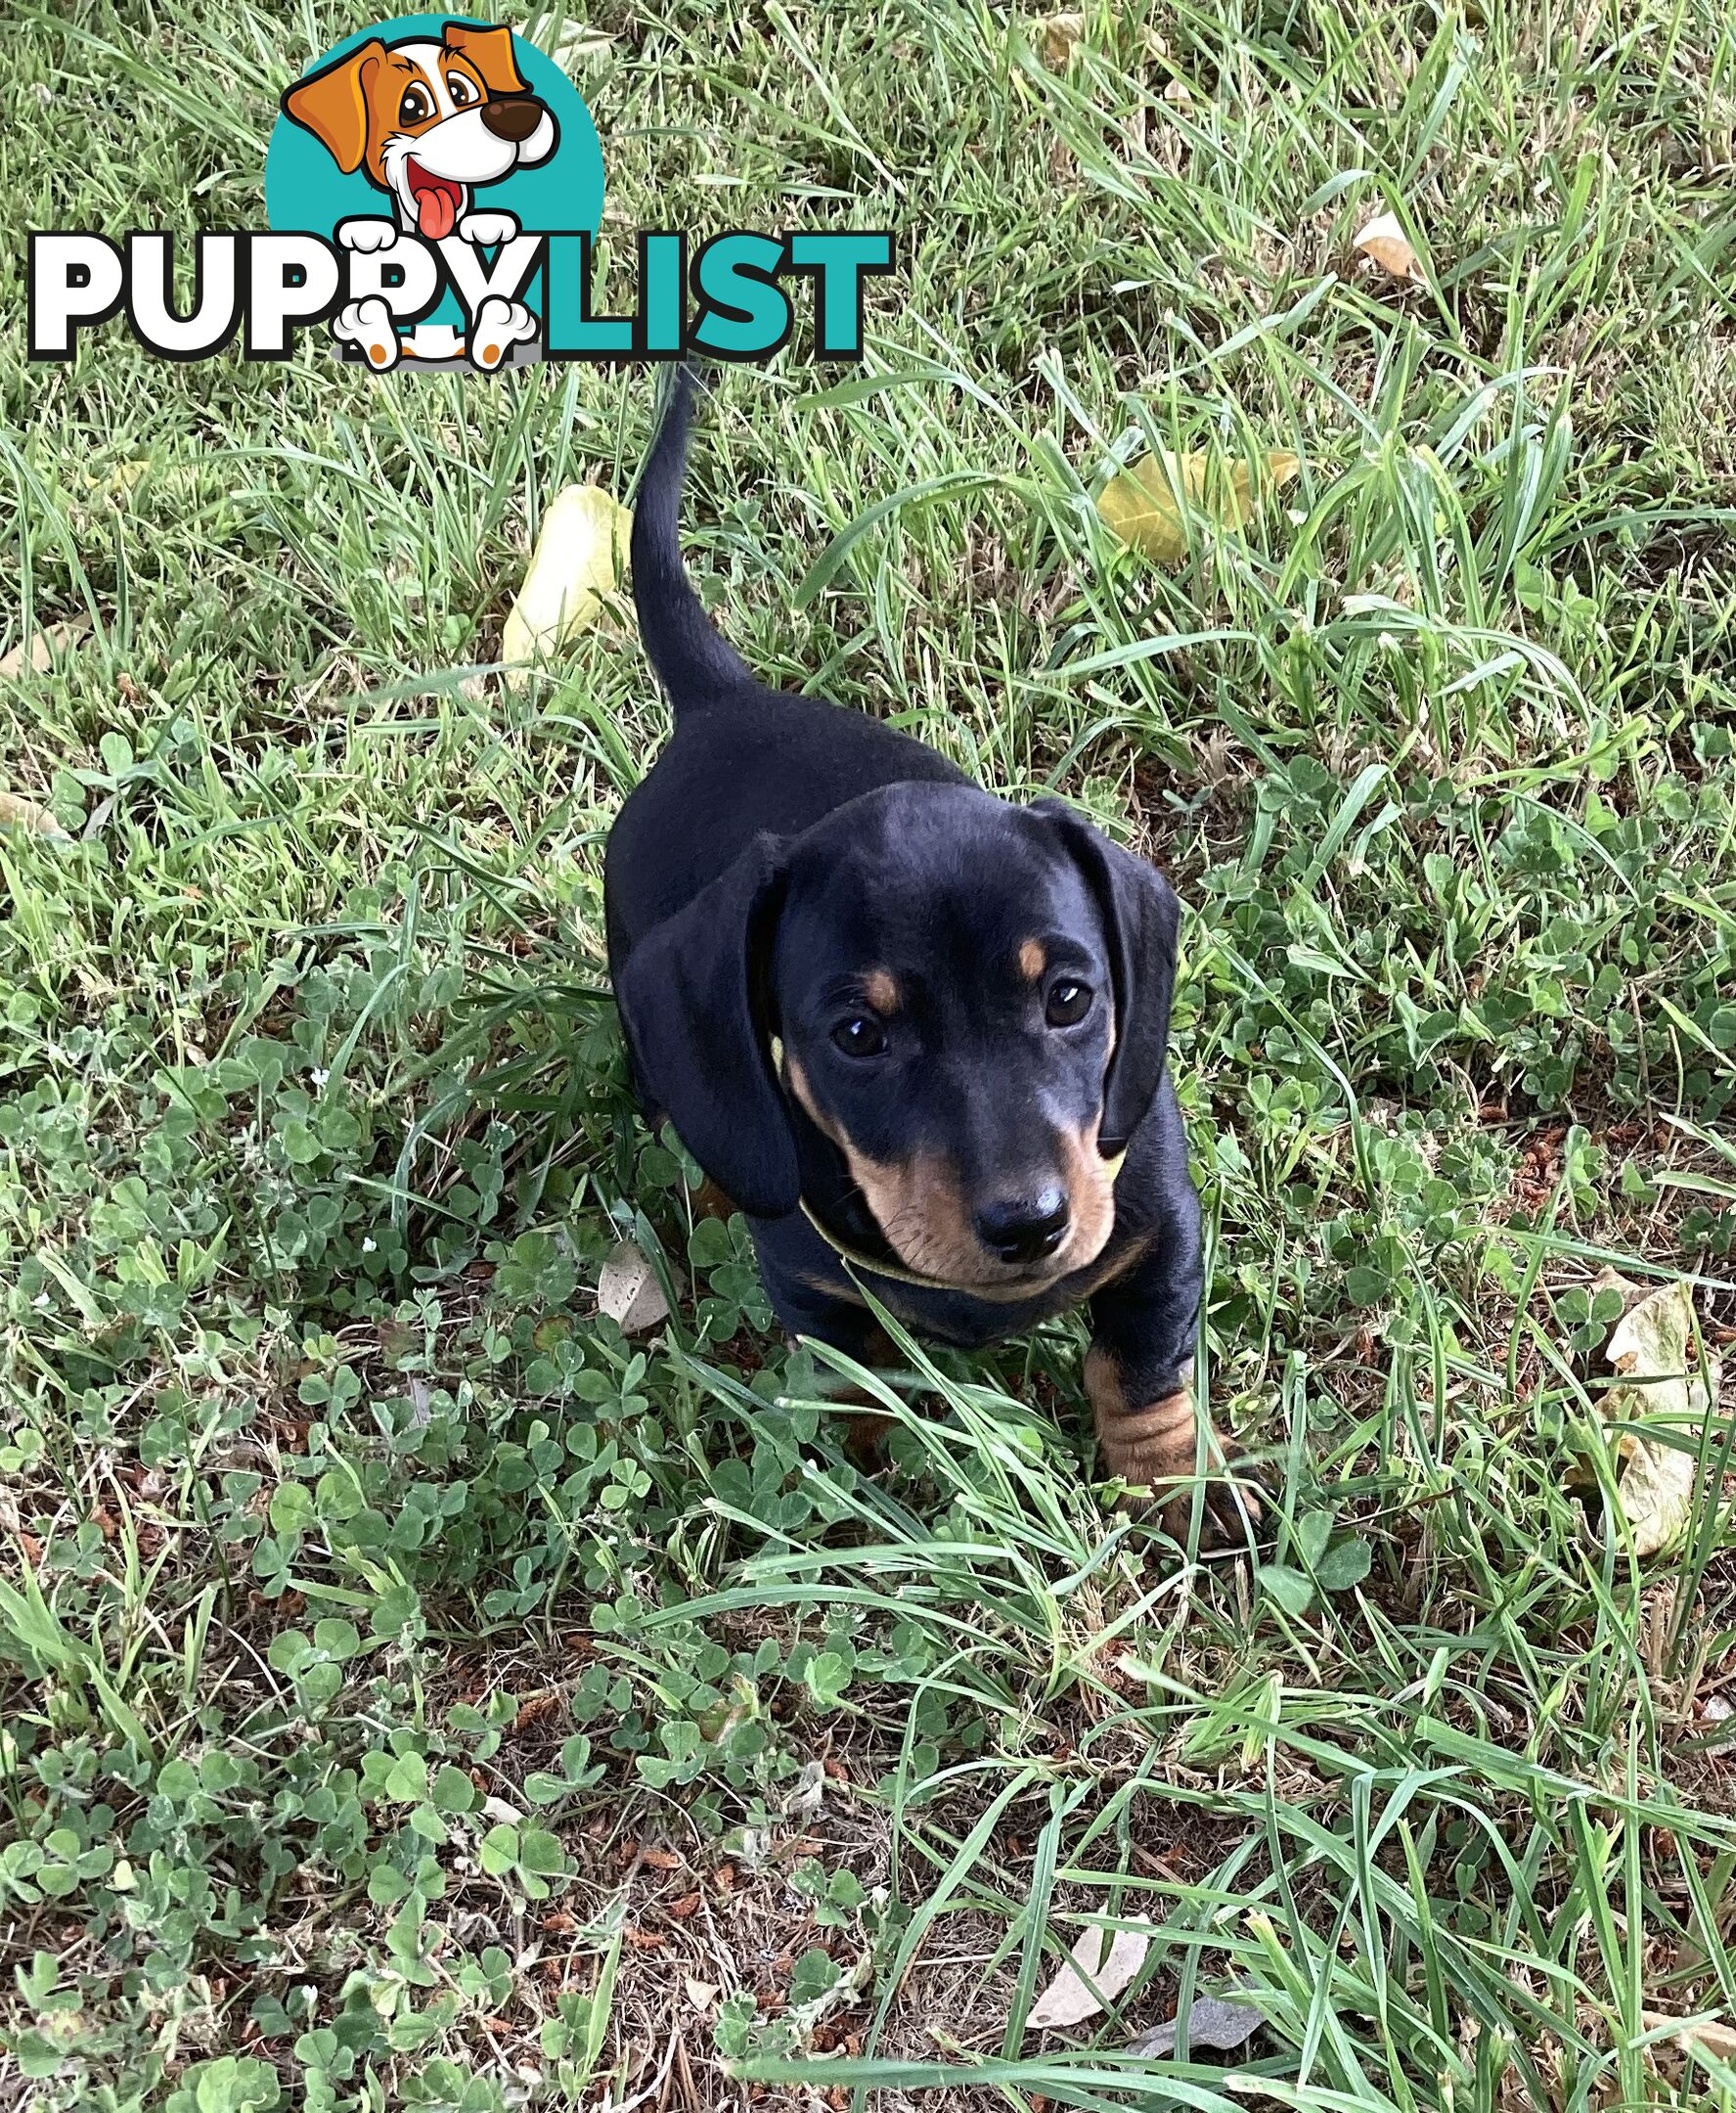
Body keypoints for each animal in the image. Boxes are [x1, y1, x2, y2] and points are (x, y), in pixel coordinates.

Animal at [603, 372, 1258, 1547]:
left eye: (1069, 998)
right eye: (858, 1035)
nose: (1029, 1226)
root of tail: (721, 706)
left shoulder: (1159, 1237)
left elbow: (1143, 1368)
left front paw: (1169, 1486)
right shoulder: (816, 1297)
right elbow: (851, 1391)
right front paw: (861, 1497)